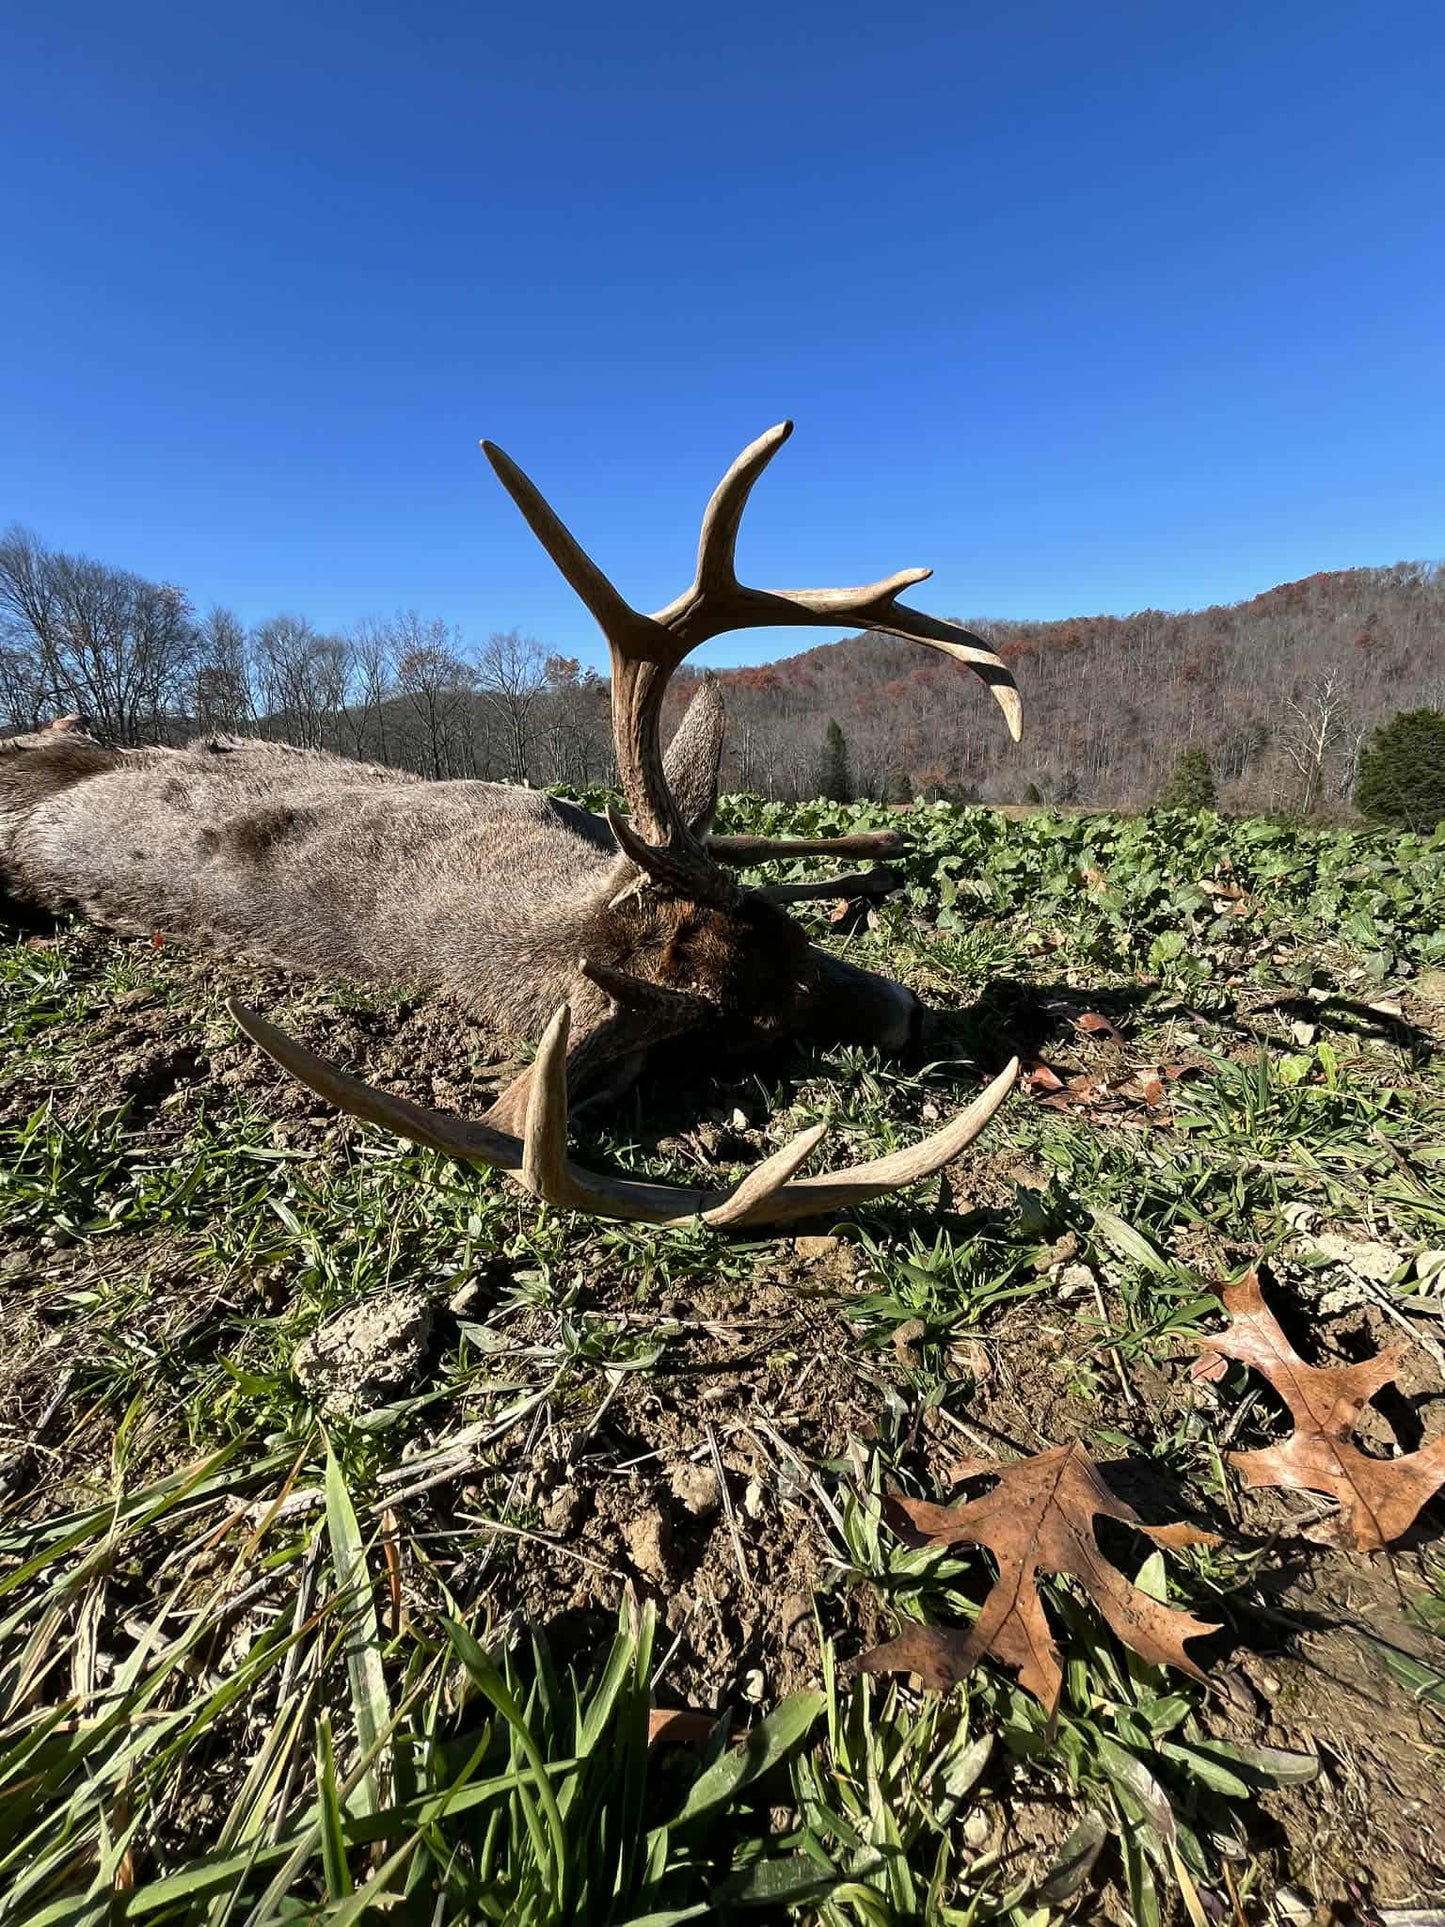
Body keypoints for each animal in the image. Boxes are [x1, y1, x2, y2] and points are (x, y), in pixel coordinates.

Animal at [0, 423, 1022, 1230]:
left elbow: (737, 842)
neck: (532, 902)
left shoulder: (555, 813)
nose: (907, 1013)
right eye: (753, 1032)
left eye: (790, 941)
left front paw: (876, 856)